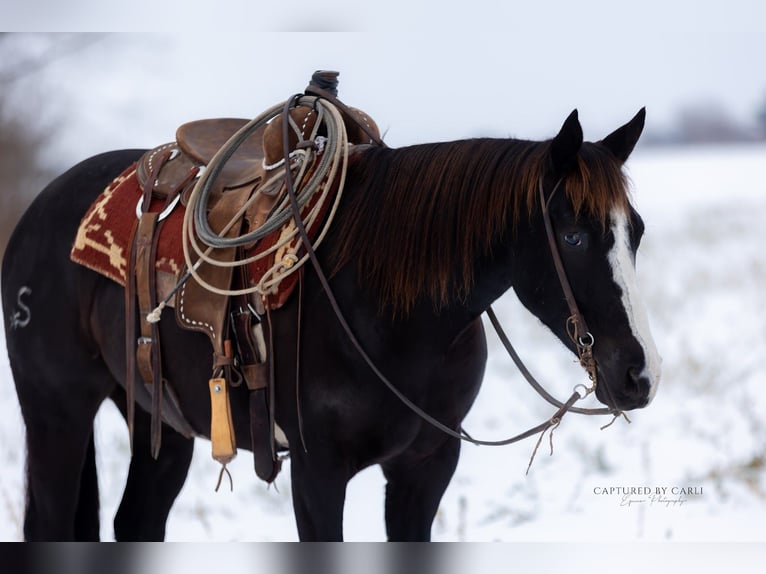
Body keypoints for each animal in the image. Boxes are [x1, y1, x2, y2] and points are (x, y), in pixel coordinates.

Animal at [1, 105, 661, 541]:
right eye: (573, 235)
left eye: (636, 231)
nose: (639, 375)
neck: (395, 317)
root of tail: (39, 210)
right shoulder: (317, 471)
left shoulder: (428, 465)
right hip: (57, 412)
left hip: (161, 423)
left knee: (136, 519)